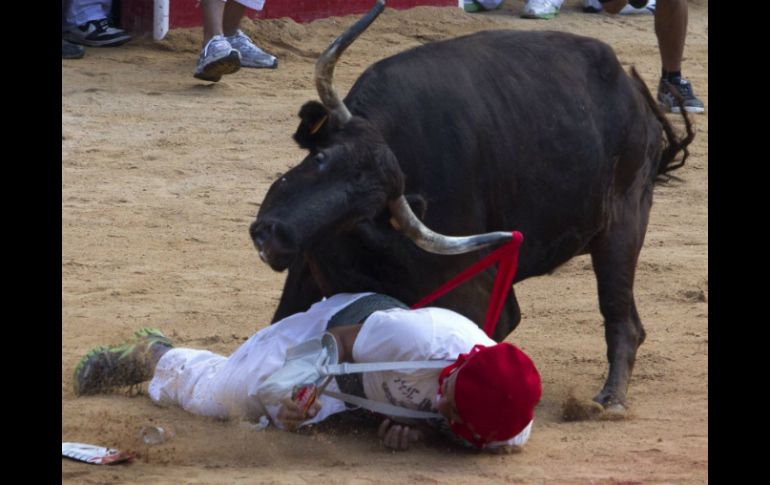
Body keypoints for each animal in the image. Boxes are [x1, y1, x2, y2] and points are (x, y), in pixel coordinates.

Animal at [250, 19, 688, 408]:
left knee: (619, 315)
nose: (274, 237)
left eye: (363, 214)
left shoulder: (480, 298)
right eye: (321, 158)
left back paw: (610, 399)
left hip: (623, 225)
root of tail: (635, 95)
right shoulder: (304, 268)